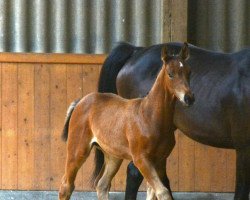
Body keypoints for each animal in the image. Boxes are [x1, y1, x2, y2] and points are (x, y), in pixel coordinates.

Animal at [59, 42, 195, 200]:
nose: (189, 98)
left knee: (102, 184)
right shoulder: (141, 159)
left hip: (113, 155)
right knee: (66, 186)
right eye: (170, 74)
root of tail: (81, 101)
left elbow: (154, 192)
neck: (150, 116)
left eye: (189, 72)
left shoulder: (160, 161)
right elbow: (163, 192)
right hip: (78, 149)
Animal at [97, 42, 250, 200]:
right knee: (135, 173)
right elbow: (242, 190)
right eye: (170, 74)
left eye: (190, 72)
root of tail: (136, 51)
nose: (189, 98)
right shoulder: (244, 147)